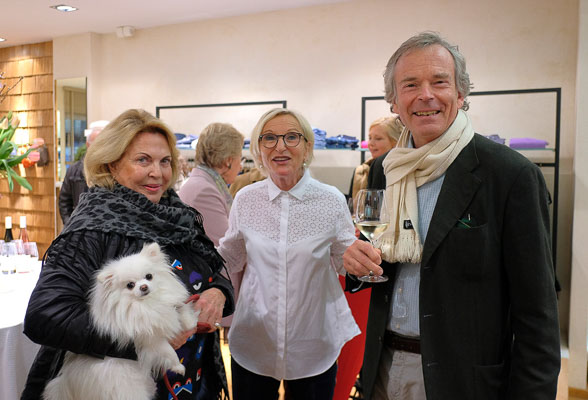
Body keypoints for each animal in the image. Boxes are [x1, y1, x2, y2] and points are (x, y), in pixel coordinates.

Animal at [43, 242, 199, 400]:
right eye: (130, 285)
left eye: (149, 276)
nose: (144, 287)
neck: (146, 304)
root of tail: (66, 383)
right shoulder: (150, 340)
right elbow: (169, 351)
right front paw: (178, 367)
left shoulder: (168, 310)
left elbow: (181, 311)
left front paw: (191, 322)